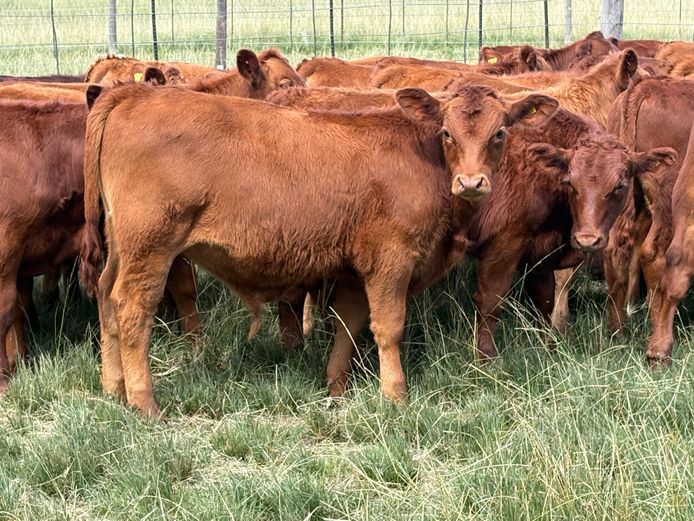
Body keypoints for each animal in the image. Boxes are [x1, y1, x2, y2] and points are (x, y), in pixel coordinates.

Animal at [78, 82, 558, 416]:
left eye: (500, 133)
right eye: (446, 132)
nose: (472, 182)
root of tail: (132, 92)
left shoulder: (353, 269)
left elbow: (348, 324)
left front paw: (336, 389)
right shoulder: (391, 259)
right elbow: (388, 327)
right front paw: (395, 395)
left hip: (123, 248)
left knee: (105, 298)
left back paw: (112, 388)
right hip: (151, 247)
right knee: (131, 309)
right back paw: (144, 401)